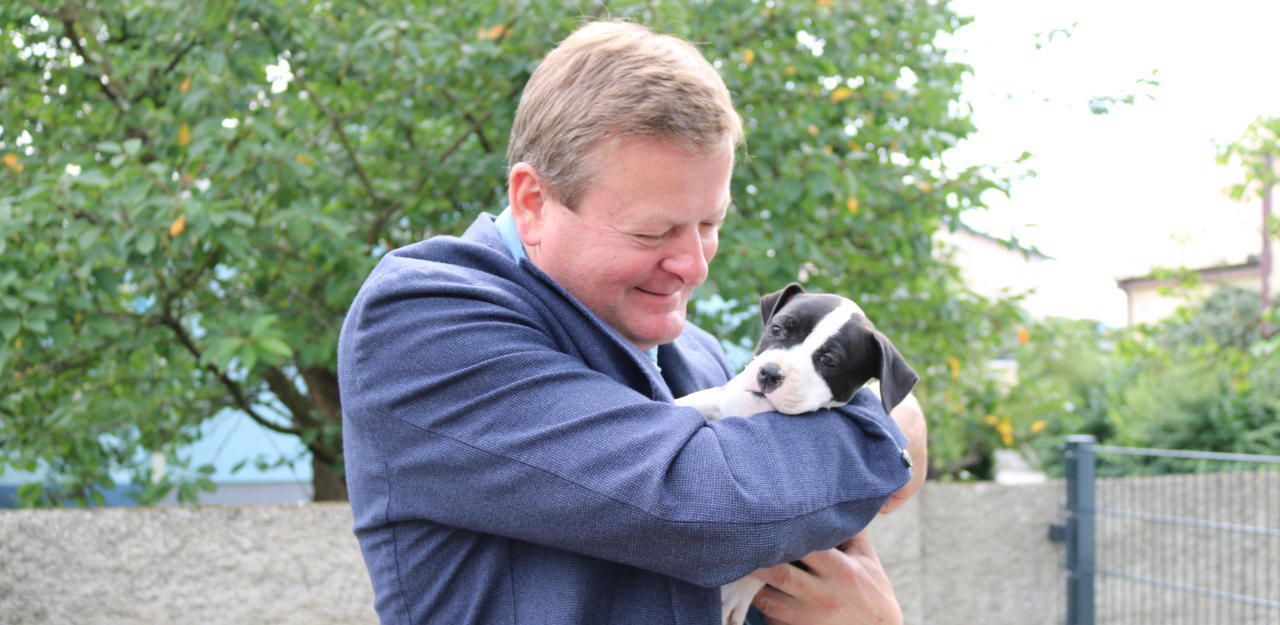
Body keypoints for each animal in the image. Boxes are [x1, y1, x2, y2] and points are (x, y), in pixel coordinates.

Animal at [674, 283, 918, 625]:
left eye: (829, 360)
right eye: (777, 329)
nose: (769, 373)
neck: (756, 410)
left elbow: (775, 556)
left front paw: (737, 593)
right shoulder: (728, 399)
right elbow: (708, 398)